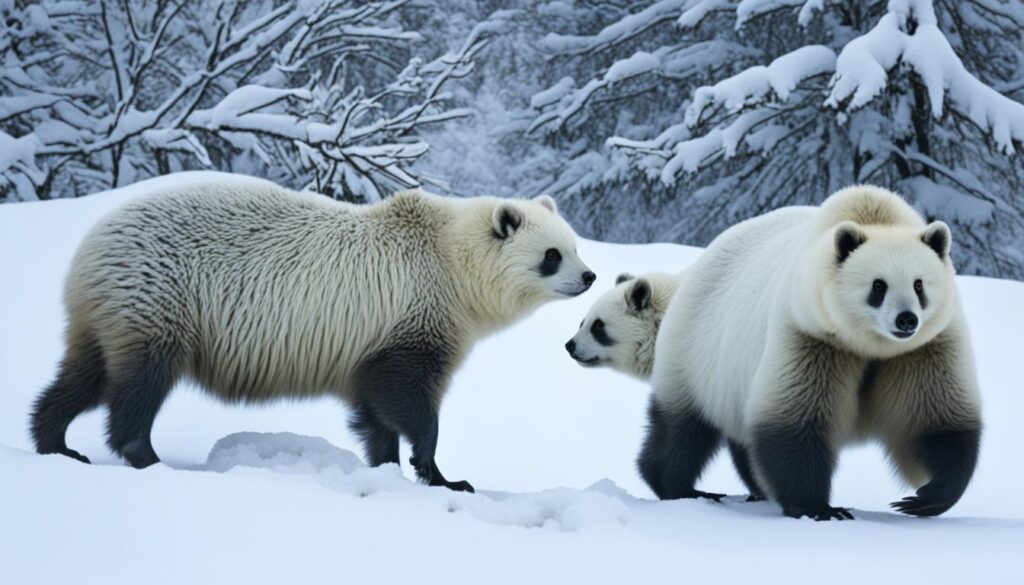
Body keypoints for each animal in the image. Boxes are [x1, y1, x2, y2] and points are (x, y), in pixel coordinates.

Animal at [32, 172, 598, 491]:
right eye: (553, 255)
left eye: (574, 245)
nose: (590, 277)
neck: (451, 260)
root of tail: (91, 247)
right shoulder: (415, 307)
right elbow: (405, 393)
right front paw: (444, 476)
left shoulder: (377, 334)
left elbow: (374, 406)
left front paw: (389, 466)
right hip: (163, 293)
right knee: (139, 381)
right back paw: (145, 455)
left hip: (112, 309)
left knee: (87, 373)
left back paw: (55, 440)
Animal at [647, 185, 983, 520]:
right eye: (878, 286)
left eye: (919, 285)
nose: (906, 320)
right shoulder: (811, 335)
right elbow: (795, 420)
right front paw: (821, 508)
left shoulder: (923, 350)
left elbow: (936, 420)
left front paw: (923, 498)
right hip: (697, 349)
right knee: (683, 426)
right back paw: (681, 486)